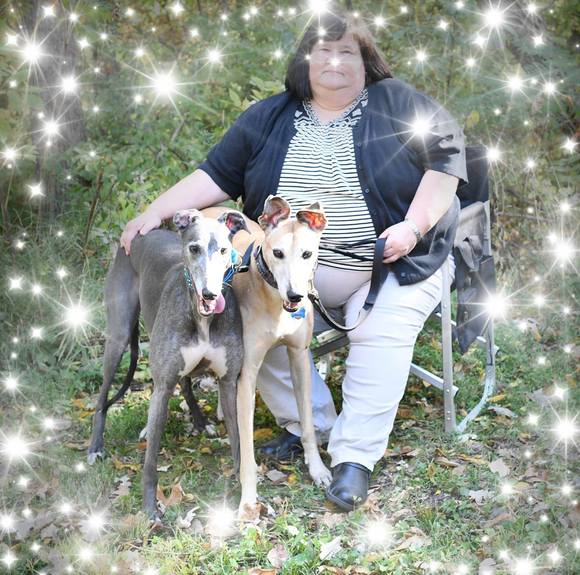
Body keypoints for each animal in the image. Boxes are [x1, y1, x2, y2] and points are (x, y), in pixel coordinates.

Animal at [87, 209, 247, 516]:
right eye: (194, 248)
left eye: (224, 250)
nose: (210, 295)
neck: (203, 319)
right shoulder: (162, 389)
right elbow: (150, 461)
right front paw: (150, 507)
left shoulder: (228, 382)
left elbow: (238, 442)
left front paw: (244, 491)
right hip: (119, 336)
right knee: (102, 398)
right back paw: (95, 446)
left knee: (183, 383)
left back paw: (199, 421)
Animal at [204, 196, 333, 519]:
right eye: (277, 253)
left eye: (307, 254)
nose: (296, 295)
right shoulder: (248, 373)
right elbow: (246, 449)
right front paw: (248, 501)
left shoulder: (299, 357)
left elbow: (307, 424)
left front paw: (318, 470)